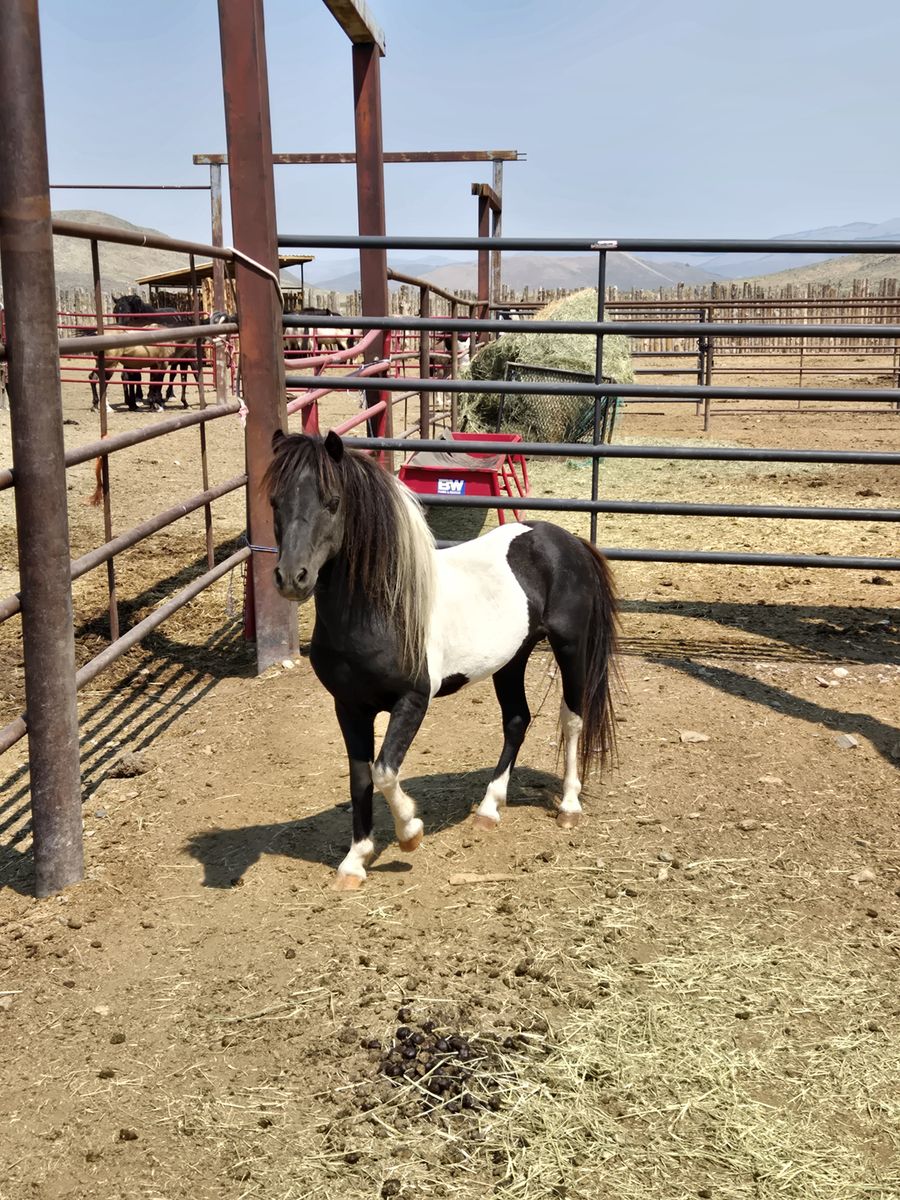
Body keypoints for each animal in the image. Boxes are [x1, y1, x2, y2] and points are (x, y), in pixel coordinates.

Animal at [265, 430, 618, 890]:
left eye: (332, 501)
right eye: (275, 500)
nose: (293, 578)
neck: (380, 610)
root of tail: (567, 540)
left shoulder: (413, 700)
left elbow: (384, 771)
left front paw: (410, 832)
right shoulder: (349, 706)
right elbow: (361, 776)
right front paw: (355, 860)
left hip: (571, 649)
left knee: (573, 718)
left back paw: (570, 806)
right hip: (512, 658)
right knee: (517, 721)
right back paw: (489, 808)